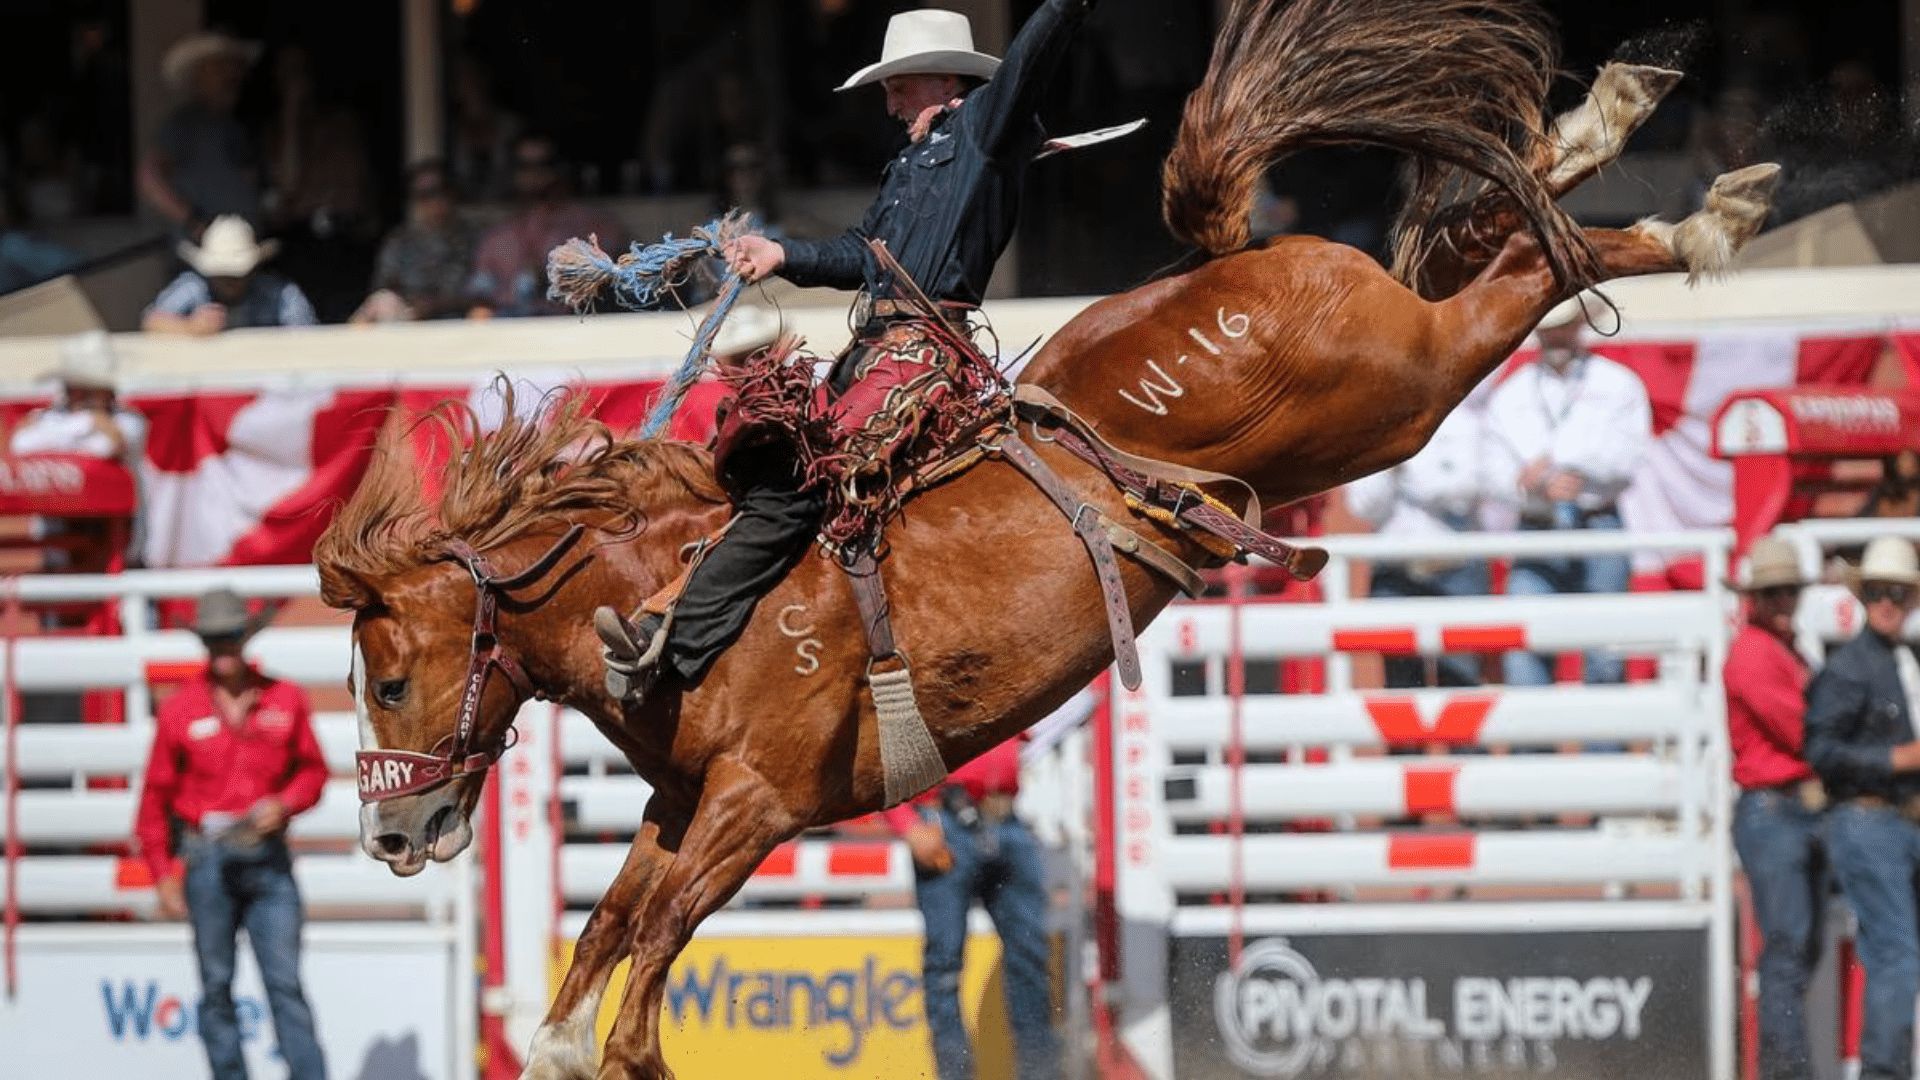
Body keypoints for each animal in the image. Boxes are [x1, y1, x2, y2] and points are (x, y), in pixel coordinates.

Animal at [315, 1, 1778, 1077]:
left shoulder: (758, 803)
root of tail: (1234, 261)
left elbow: (646, 975)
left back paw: (1696, 209)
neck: (673, 588)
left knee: (1521, 273)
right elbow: (612, 933)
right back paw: (1628, 133)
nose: (389, 838)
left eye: (386, 677)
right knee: (1509, 225)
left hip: (1401, 388)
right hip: (1385, 384)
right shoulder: (683, 804)